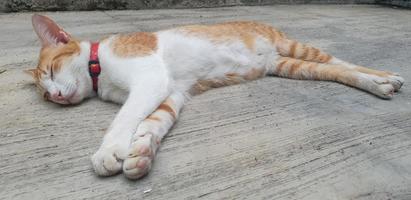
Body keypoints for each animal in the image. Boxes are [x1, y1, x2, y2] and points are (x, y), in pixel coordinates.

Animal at [26, 14, 406, 180]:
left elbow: (125, 118)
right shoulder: (172, 93)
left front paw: (110, 150)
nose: (56, 96)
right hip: (290, 66)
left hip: (296, 48)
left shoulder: (150, 78)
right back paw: (378, 84)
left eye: (52, 71)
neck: (98, 67)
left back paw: (385, 76)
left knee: (342, 61)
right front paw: (141, 152)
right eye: (45, 94)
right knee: (335, 71)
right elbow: (152, 123)